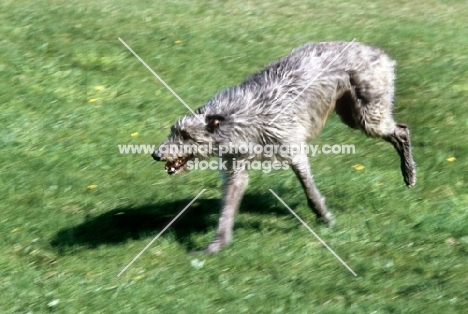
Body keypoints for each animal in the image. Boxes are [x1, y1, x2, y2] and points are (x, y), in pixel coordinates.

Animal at [152, 41, 414, 253]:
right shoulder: (235, 163)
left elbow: (309, 189)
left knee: (401, 130)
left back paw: (409, 173)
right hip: (352, 112)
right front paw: (217, 244)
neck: (240, 116)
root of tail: (378, 52)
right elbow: (229, 202)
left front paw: (325, 218)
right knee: (397, 129)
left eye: (186, 136)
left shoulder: (291, 146)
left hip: (367, 113)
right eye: (173, 131)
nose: (155, 154)